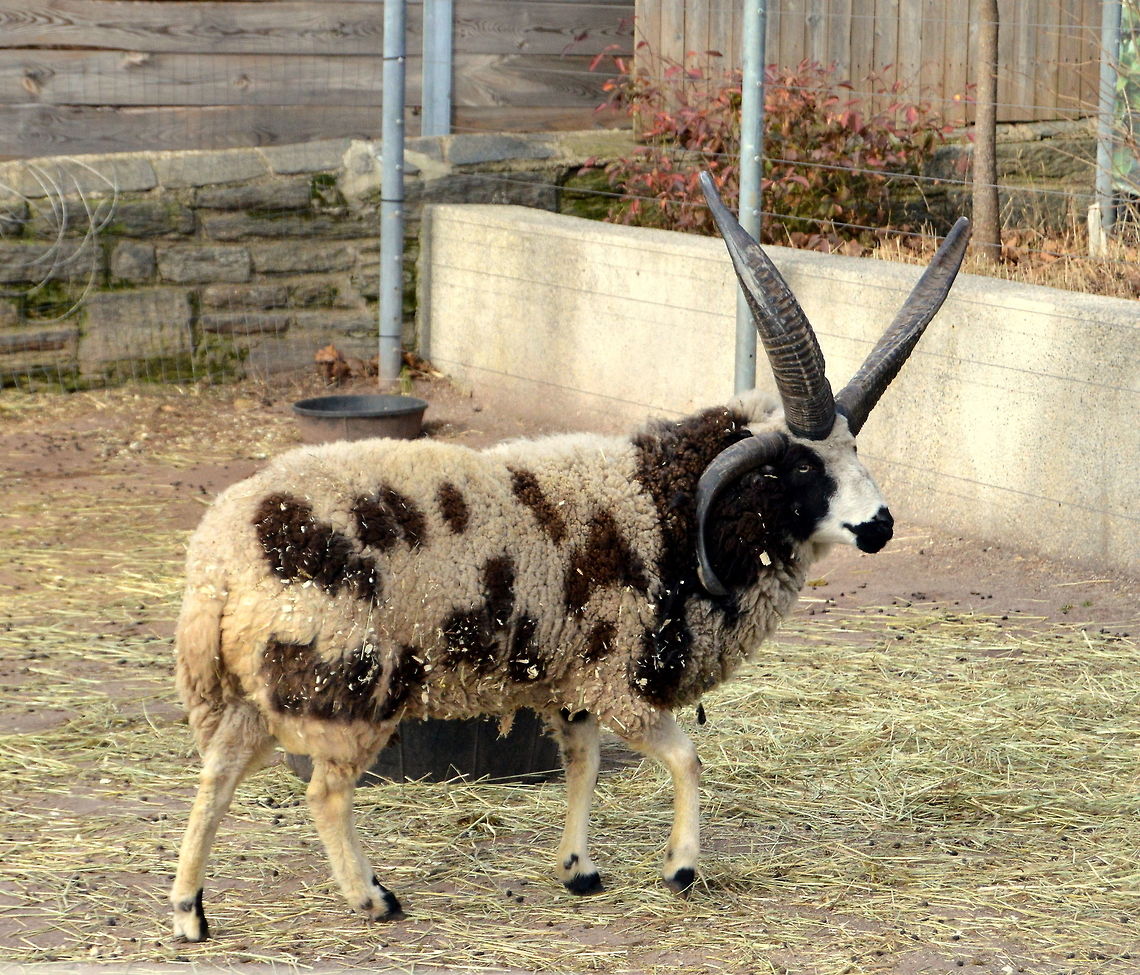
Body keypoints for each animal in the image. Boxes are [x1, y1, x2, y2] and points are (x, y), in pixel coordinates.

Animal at [169, 173, 970, 941]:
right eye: (803, 468)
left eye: (855, 449)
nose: (881, 525)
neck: (667, 503)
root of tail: (217, 562)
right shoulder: (620, 677)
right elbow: (686, 756)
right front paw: (681, 867)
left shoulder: (577, 677)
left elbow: (581, 767)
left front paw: (579, 870)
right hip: (343, 678)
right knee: (324, 791)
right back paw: (372, 898)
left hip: (262, 683)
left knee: (216, 775)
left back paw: (190, 913)